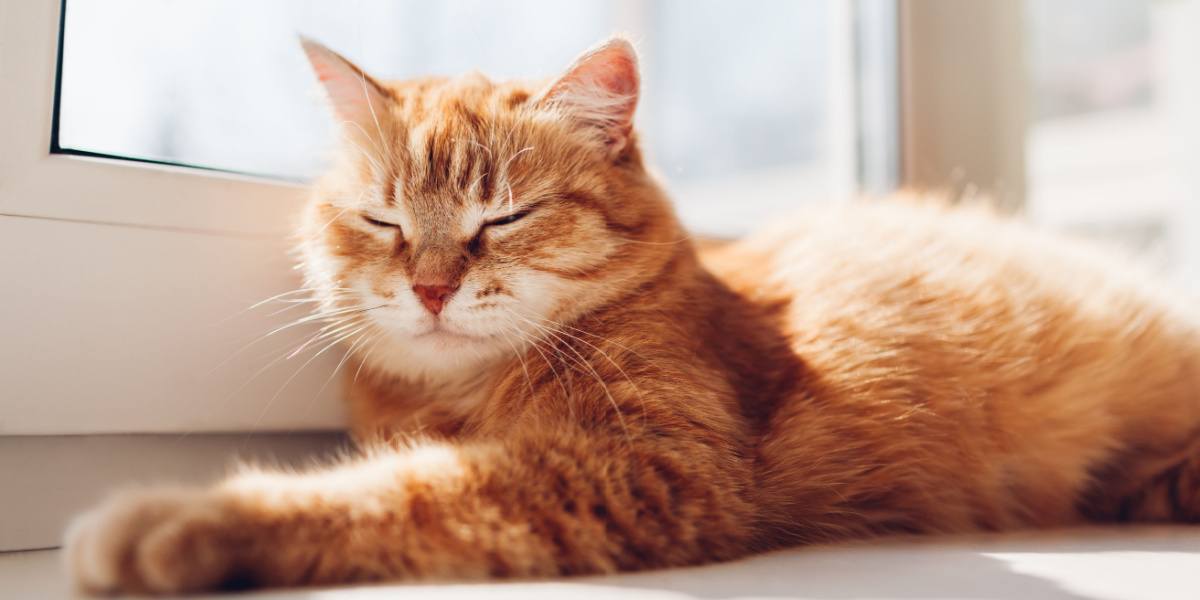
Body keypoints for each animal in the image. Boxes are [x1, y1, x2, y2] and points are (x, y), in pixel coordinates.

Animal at [65, 37, 1200, 595]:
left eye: (502, 218)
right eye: (385, 220)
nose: (430, 287)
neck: (460, 394)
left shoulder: (647, 467)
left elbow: (403, 494)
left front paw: (190, 520)